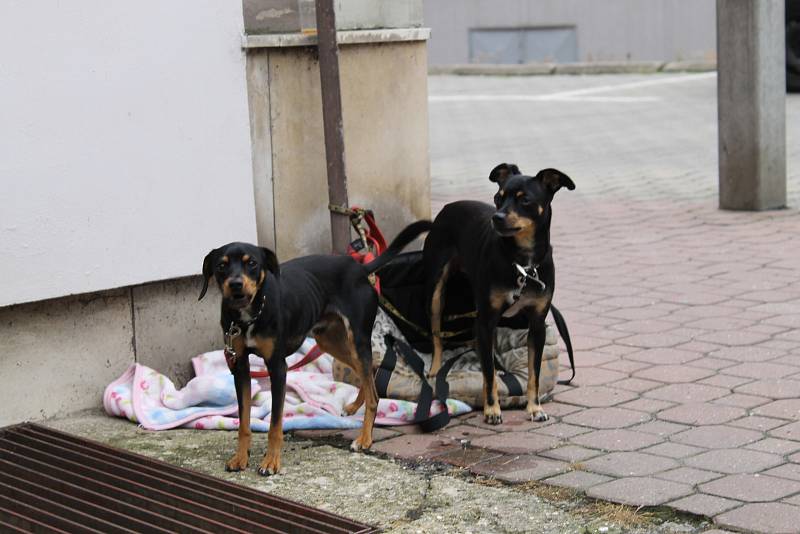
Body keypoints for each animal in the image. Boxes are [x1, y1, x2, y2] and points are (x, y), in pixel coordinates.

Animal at [199, 222, 432, 478]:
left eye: (252, 263)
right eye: (221, 266)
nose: (235, 284)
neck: (250, 315)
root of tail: (360, 269)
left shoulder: (278, 367)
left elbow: (275, 424)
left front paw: (271, 462)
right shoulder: (239, 366)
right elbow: (243, 422)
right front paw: (240, 458)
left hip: (357, 339)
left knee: (373, 391)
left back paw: (364, 438)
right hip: (328, 340)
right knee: (368, 371)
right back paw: (354, 407)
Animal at [424, 163, 576, 428]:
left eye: (525, 200)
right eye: (498, 198)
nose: (497, 217)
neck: (523, 264)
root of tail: (448, 206)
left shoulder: (536, 325)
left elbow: (534, 374)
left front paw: (534, 408)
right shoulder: (487, 319)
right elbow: (489, 375)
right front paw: (492, 410)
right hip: (436, 291)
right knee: (437, 334)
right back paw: (435, 369)